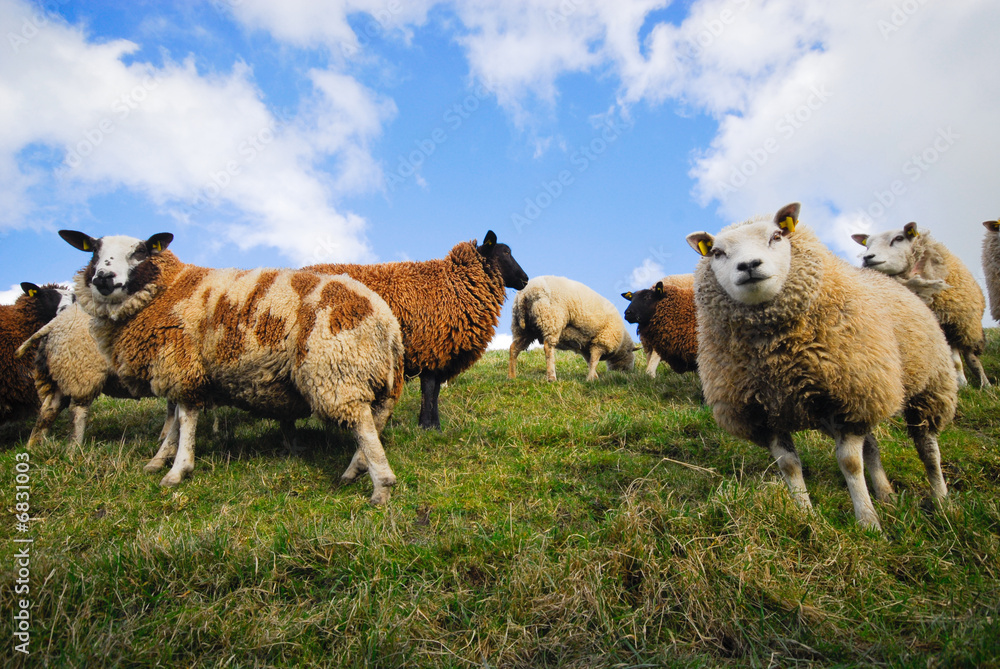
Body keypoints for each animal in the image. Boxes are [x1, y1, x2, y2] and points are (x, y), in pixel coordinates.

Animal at [60, 230, 405, 505]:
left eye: (140, 252)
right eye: (94, 251)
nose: (102, 278)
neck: (169, 288)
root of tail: (385, 319)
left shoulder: (183, 365)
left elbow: (184, 419)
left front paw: (177, 470)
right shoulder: (180, 370)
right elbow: (174, 422)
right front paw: (160, 460)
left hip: (336, 369)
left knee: (362, 423)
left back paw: (381, 486)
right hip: (375, 375)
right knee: (377, 418)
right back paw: (357, 467)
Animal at [304, 230, 528, 430]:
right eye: (506, 252)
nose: (525, 279)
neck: (455, 284)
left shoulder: (440, 353)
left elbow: (435, 391)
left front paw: (435, 426)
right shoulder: (429, 346)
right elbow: (428, 389)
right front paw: (426, 426)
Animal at [686, 203, 957, 530]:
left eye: (776, 236)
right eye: (717, 252)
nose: (749, 265)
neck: (778, 360)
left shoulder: (851, 397)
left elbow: (850, 463)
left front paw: (867, 522)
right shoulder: (766, 412)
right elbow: (789, 466)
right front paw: (805, 516)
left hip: (927, 387)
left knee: (927, 448)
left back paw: (941, 499)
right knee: (872, 447)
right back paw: (887, 495)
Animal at [852, 222, 990, 388]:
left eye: (899, 238)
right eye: (867, 246)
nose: (867, 257)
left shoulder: (956, 322)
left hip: (966, 325)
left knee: (968, 354)